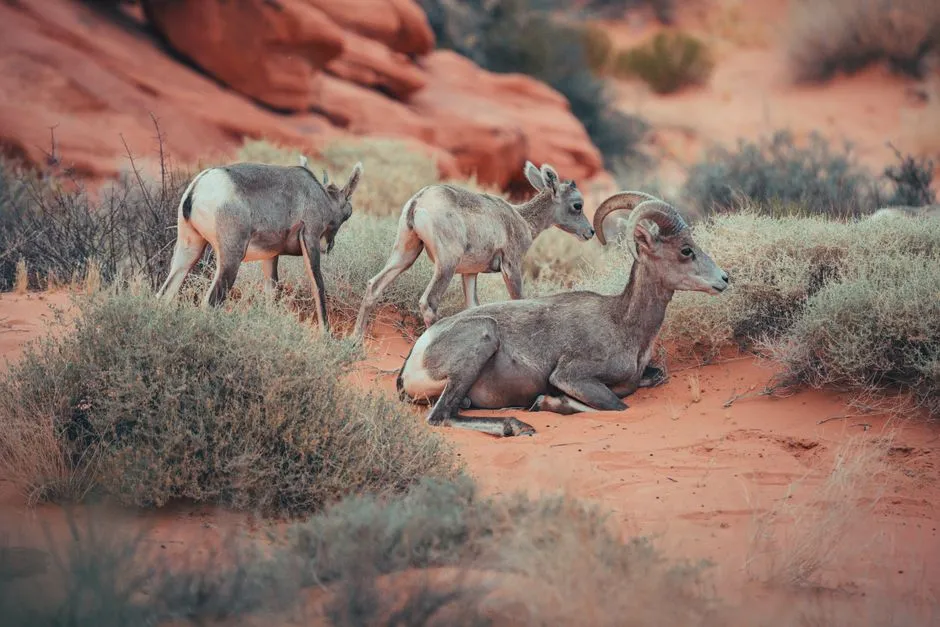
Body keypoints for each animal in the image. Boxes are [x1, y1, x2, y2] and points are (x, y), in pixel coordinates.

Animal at [156, 156, 363, 334]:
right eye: (348, 214)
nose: (327, 247)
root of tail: (198, 187)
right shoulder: (310, 240)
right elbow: (318, 288)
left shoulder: (270, 257)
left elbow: (272, 295)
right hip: (230, 261)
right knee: (210, 302)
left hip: (189, 251)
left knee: (164, 295)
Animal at [352, 161, 595, 340]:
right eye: (577, 205)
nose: (590, 232)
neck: (522, 220)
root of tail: (418, 202)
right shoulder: (511, 267)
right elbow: (519, 301)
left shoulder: (469, 273)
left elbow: (473, 306)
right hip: (446, 265)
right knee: (428, 303)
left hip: (405, 255)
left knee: (374, 286)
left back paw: (356, 339)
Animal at [395, 191, 729, 437]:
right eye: (686, 250)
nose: (725, 279)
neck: (622, 323)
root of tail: (415, 359)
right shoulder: (572, 376)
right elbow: (617, 406)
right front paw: (546, 401)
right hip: (483, 335)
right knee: (440, 416)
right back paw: (515, 425)